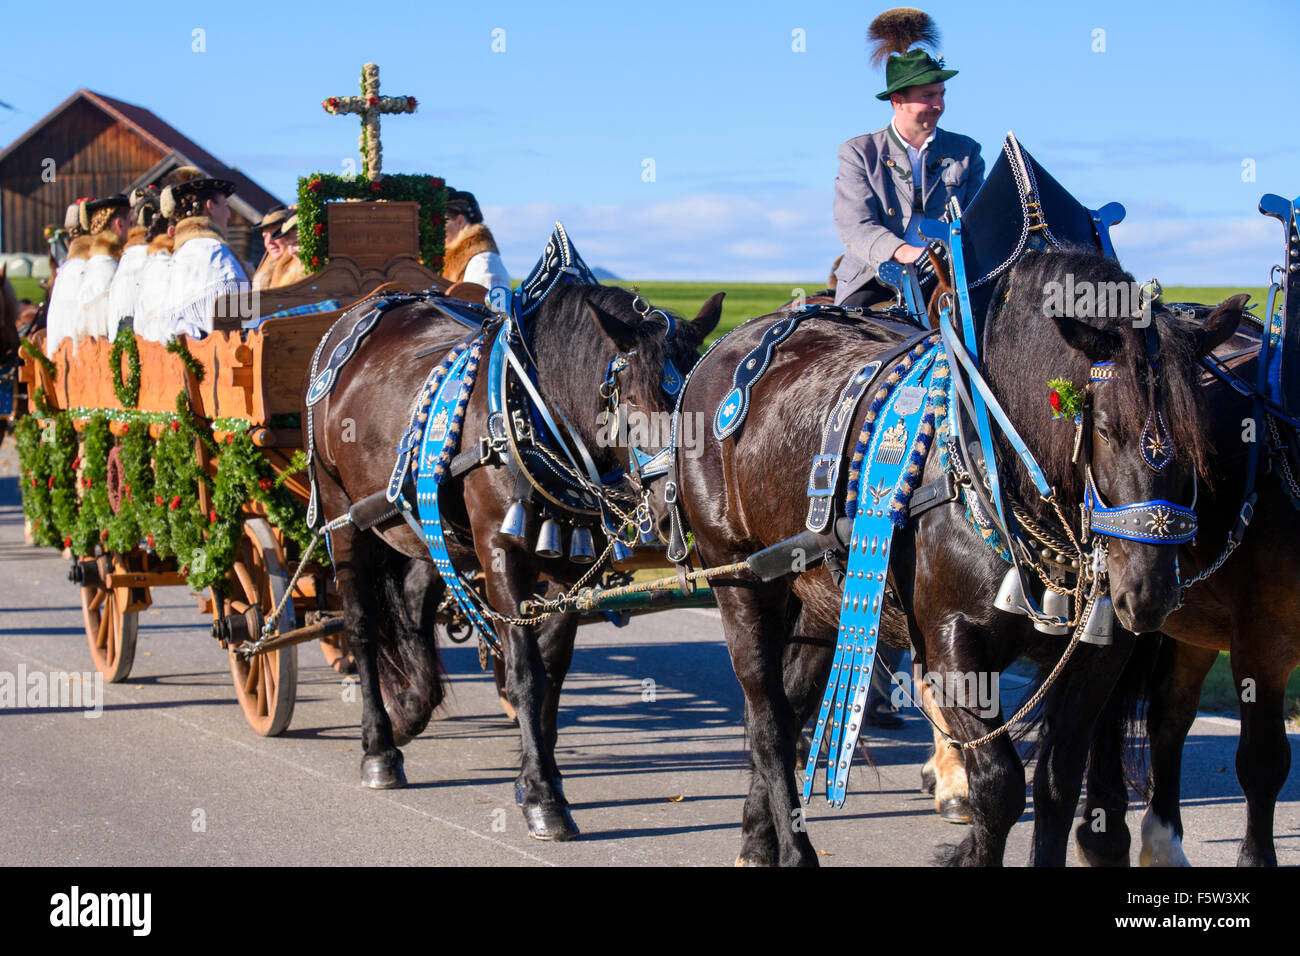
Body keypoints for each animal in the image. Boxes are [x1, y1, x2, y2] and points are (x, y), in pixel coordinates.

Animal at [310, 282, 728, 837]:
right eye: (634, 402)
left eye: (694, 404)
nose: (670, 506)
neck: (535, 413)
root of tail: (369, 305)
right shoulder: (499, 553)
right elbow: (525, 672)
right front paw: (542, 796)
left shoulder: (571, 569)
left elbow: (551, 670)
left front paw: (542, 774)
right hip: (343, 515)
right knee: (360, 625)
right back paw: (378, 747)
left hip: (424, 525)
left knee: (416, 602)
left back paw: (414, 707)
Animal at [644, 252, 1242, 868]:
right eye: (1102, 427)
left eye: (1202, 437)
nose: (1148, 595)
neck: (991, 459)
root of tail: (725, 349)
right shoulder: (953, 645)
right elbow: (1000, 786)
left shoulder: (1097, 658)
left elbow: (1057, 783)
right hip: (740, 580)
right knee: (767, 722)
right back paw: (795, 852)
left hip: (824, 598)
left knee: (790, 709)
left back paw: (758, 839)